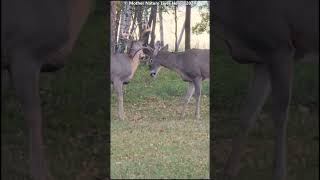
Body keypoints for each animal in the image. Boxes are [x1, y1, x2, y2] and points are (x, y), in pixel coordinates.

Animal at [214, 0, 318, 179]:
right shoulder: (261, 58)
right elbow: (248, 115)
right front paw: (229, 171)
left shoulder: (280, 47)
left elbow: (280, 116)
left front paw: (279, 172)